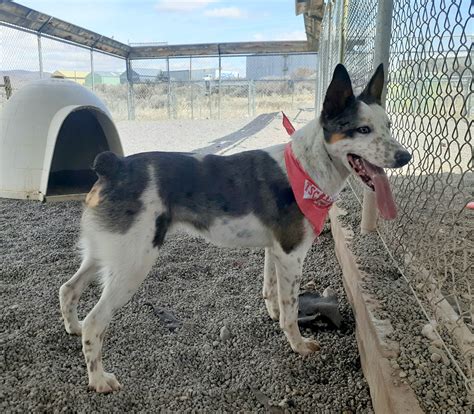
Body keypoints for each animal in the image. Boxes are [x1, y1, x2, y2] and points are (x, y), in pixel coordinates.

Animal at [59, 64, 412, 392]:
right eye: (362, 129)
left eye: (388, 126)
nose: (405, 157)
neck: (306, 167)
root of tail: (114, 165)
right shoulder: (292, 254)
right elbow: (291, 309)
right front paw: (297, 344)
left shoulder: (276, 250)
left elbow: (272, 293)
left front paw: (273, 316)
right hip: (133, 264)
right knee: (94, 322)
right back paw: (99, 379)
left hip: (105, 255)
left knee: (68, 289)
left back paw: (71, 328)